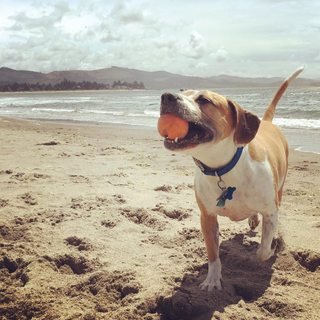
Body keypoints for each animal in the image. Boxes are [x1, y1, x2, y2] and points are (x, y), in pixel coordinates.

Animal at [159, 67, 304, 290]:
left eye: (204, 100)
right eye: (182, 91)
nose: (166, 96)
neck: (222, 169)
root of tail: (266, 123)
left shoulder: (271, 212)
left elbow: (263, 250)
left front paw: (271, 248)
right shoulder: (207, 217)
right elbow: (213, 253)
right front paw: (212, 280)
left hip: (280, 185)